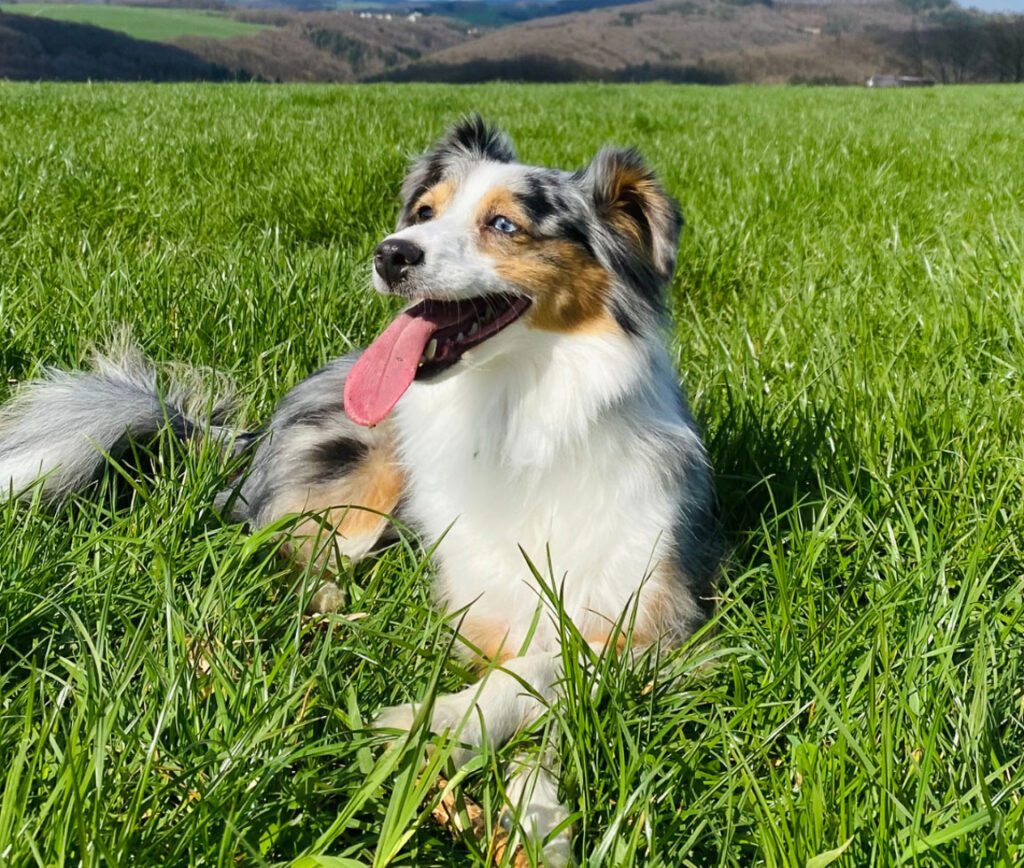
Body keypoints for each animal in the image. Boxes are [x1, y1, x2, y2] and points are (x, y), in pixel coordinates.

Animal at [0, 118, 720, 863]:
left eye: (503, 224)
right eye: (425, 212)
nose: (391, 253)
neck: (522, 413)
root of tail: (257, 432)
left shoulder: (650, 625)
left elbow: (547, 684)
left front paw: (533, 819)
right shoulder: (490, 617)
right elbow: (522, 675)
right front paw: (431, 722)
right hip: (365, 476)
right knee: (276, 552)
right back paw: (332, 612)